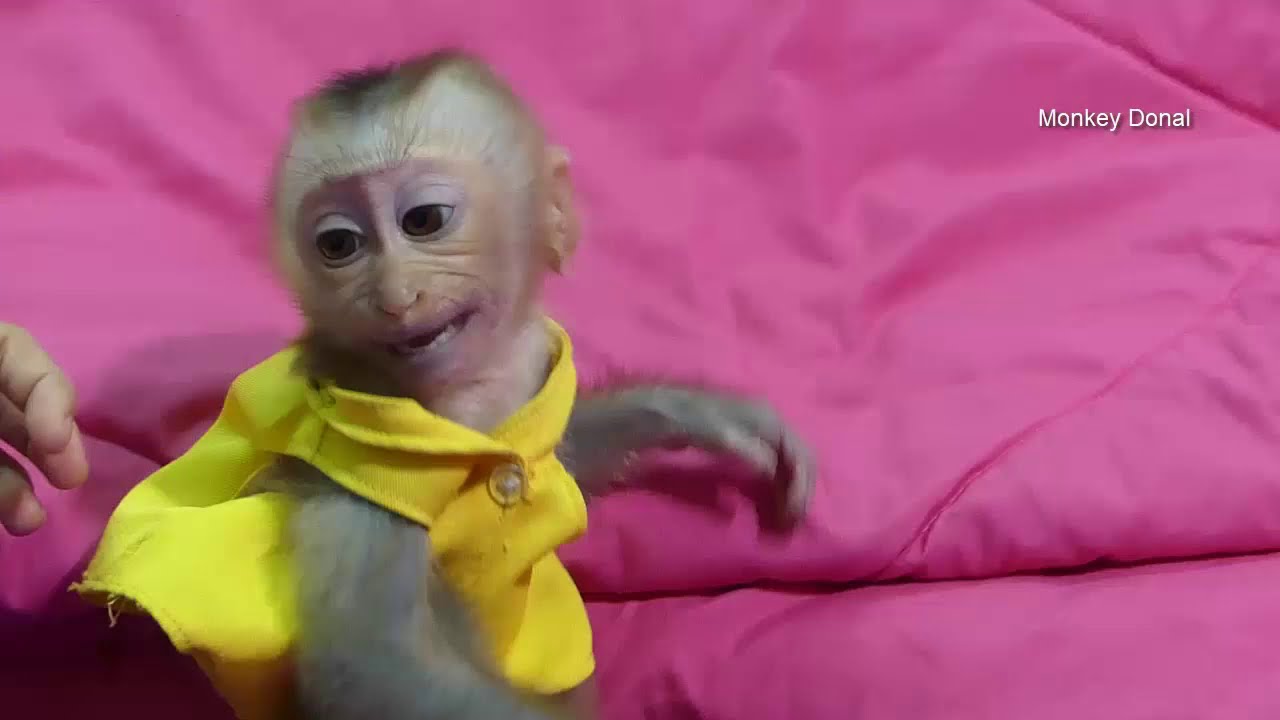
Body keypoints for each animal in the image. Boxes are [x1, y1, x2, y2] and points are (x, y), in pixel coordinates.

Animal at [73, 50, 815, 720]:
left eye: (423, 220)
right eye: (339, 245)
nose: (396, 297)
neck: (464, 403)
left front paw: (696, 414)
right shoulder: (360, 471)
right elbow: (378, 670)